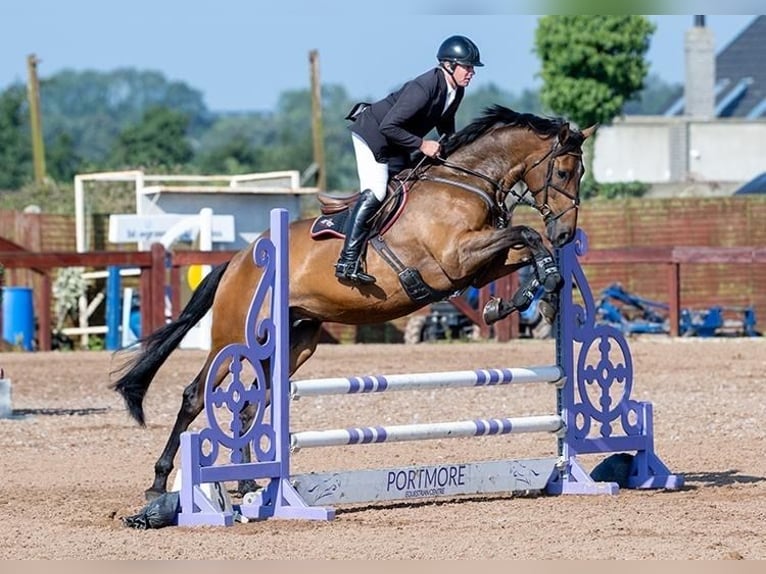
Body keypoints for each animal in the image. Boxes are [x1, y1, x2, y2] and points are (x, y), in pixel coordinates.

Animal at [114, 106, 596, 502]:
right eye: (564, 172)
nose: (567, 233)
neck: (464, 183)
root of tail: (238, 260)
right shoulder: (454, 260)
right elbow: (526, 234)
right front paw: (543, 283)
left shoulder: (475, 268)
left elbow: (523, 251)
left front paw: (529, 297)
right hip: (233, 338)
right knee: (197, 396)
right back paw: (160, 482)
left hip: (295, 340)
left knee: (251, 402)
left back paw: (249, 483)